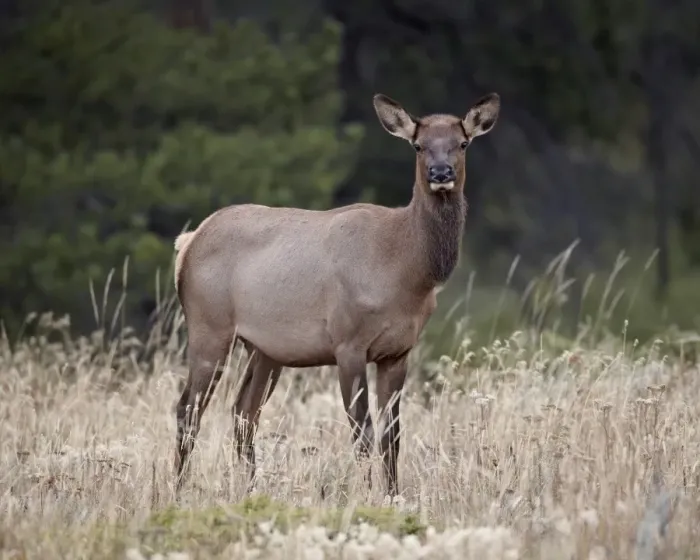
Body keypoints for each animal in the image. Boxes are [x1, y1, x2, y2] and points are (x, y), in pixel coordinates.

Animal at [172, 91, 500, 497]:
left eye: (463, 143)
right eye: (418, 145)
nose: (441, 173)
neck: (405, 269)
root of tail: (187, 243)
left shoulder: (398, 351)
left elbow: (393, 435)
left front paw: (394, 495)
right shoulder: (348, 343)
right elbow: (363, 432)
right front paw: (366, 493)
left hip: (264, 349)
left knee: (243, 412)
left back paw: (249, 489)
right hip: (209, 326)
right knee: (188, 409)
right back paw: (178, 491)